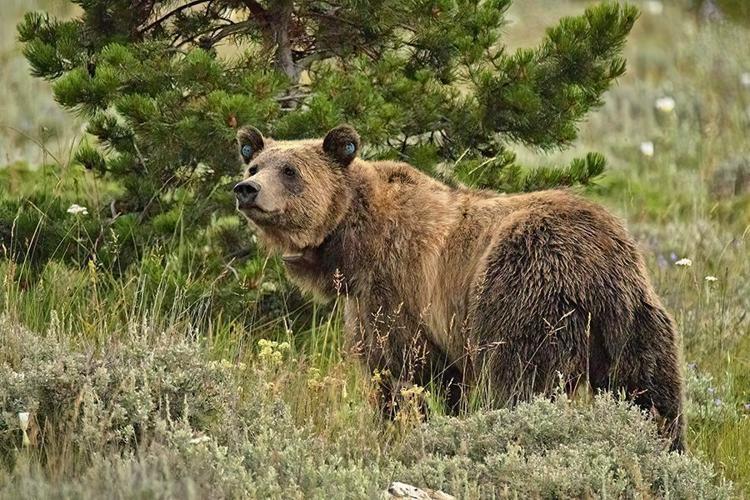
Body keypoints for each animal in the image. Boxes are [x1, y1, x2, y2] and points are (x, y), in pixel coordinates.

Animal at [233, 124, 686, 451]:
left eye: (290, 171)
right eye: (254, 165)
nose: (246, 190)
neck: (351, 240)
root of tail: (594, 261)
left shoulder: (396, 293)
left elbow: (398, 370)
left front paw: (398, 427)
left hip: (523, 289)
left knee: (516, 379)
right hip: (634, 318)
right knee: (652, 392)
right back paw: (667, 447)